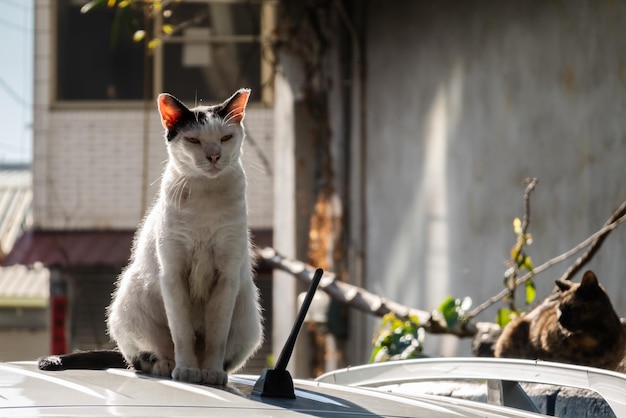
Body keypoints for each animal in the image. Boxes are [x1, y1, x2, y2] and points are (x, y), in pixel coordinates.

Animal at [37, 88, 260, 386]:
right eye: (193, 140)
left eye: (225, 138)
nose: (214, 155)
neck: (206, 197)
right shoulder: (173, 273)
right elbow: (182, 332)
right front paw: (187, 371)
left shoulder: (226, 276)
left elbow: (217, 336)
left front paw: (211, 373)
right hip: (129, 299)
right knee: (141, 357)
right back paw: (167, 365)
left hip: (248, 317)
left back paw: (207, 370)